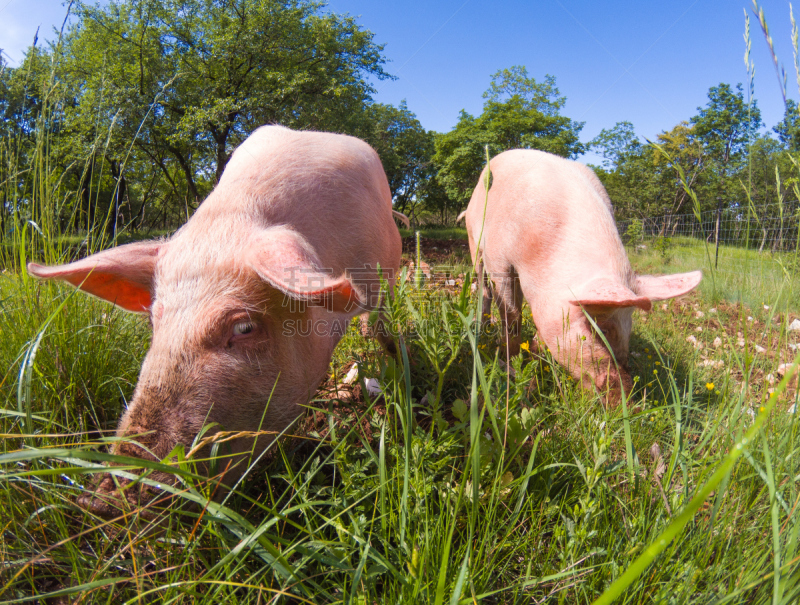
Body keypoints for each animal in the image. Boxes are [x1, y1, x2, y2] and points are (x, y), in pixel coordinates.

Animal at [460, 149, 704, 398]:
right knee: (484, 289)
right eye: (601, 328)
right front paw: (512, 367)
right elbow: (511, 316)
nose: (625, 398)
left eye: (629, 330)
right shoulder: (499, 258)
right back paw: (482, 326)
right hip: (473, 240)